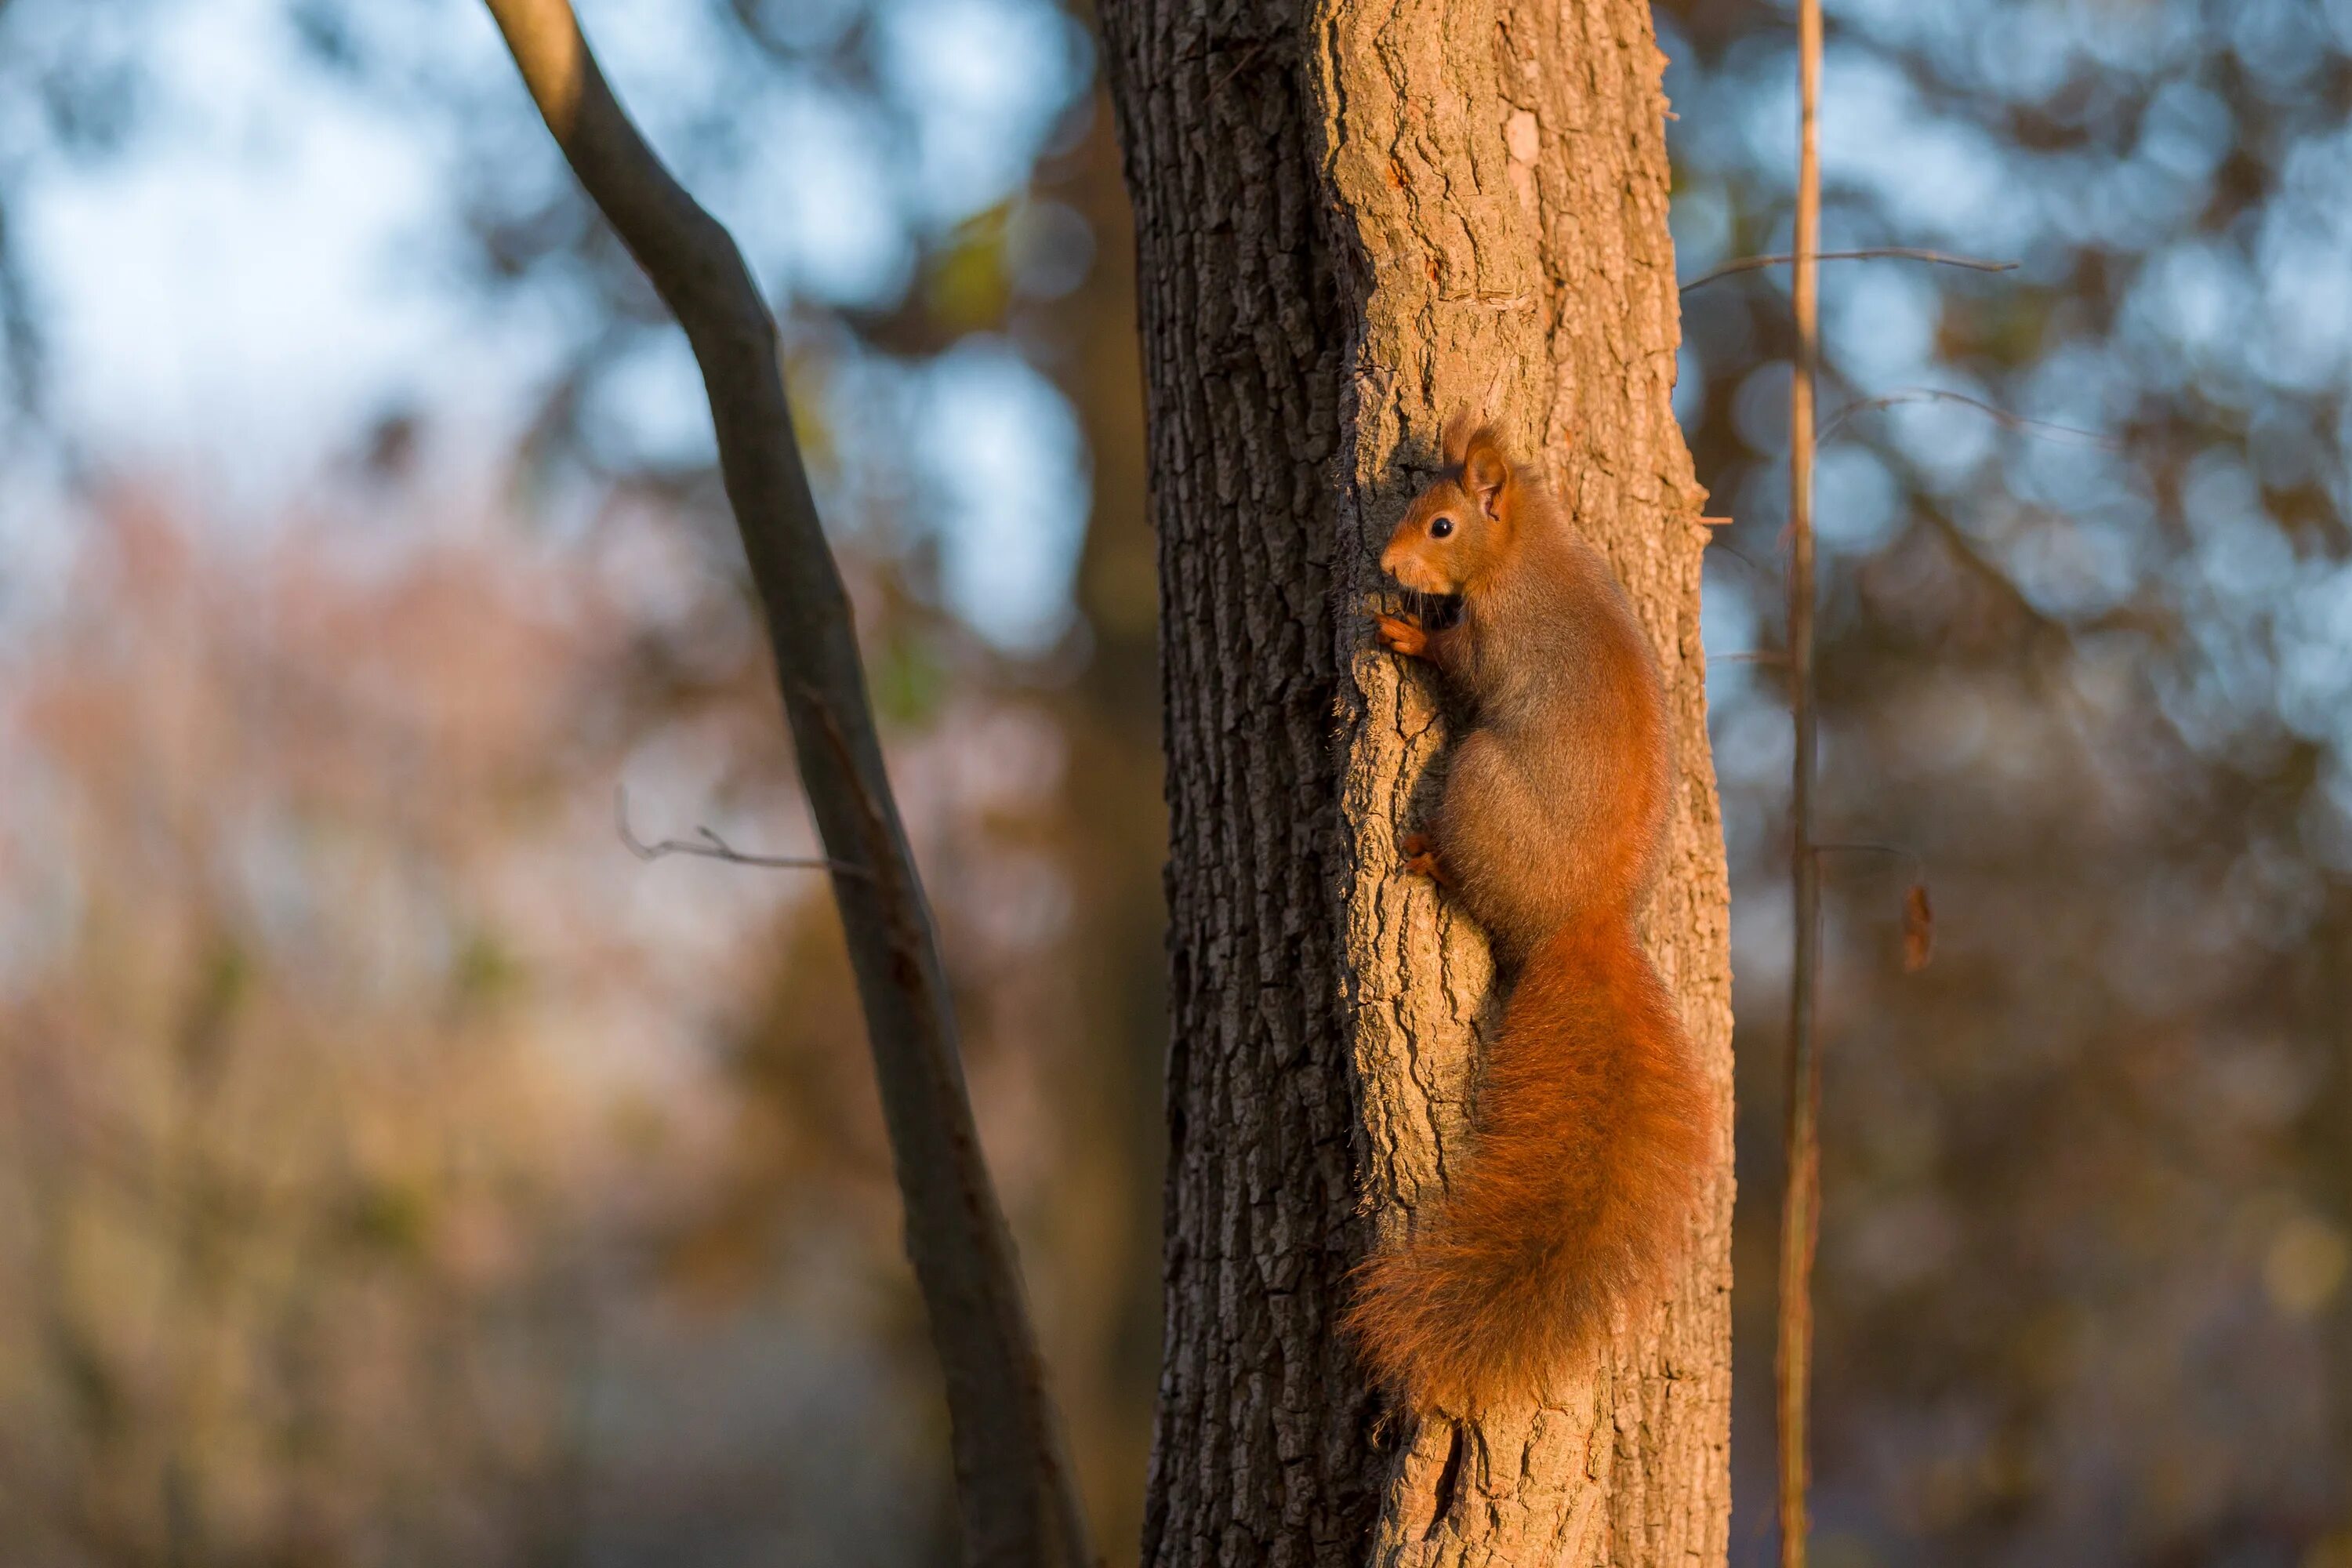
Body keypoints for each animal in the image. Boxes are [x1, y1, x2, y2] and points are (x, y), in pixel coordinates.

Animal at [1345, 420, 1712, 1420]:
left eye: (1440, 524)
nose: (1387, 564)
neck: (1525, 549)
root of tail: (1581, 924)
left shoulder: (1497, 638)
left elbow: (1458, 661)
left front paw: (1401, 628)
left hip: (1477, 779)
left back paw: (1430, 855)